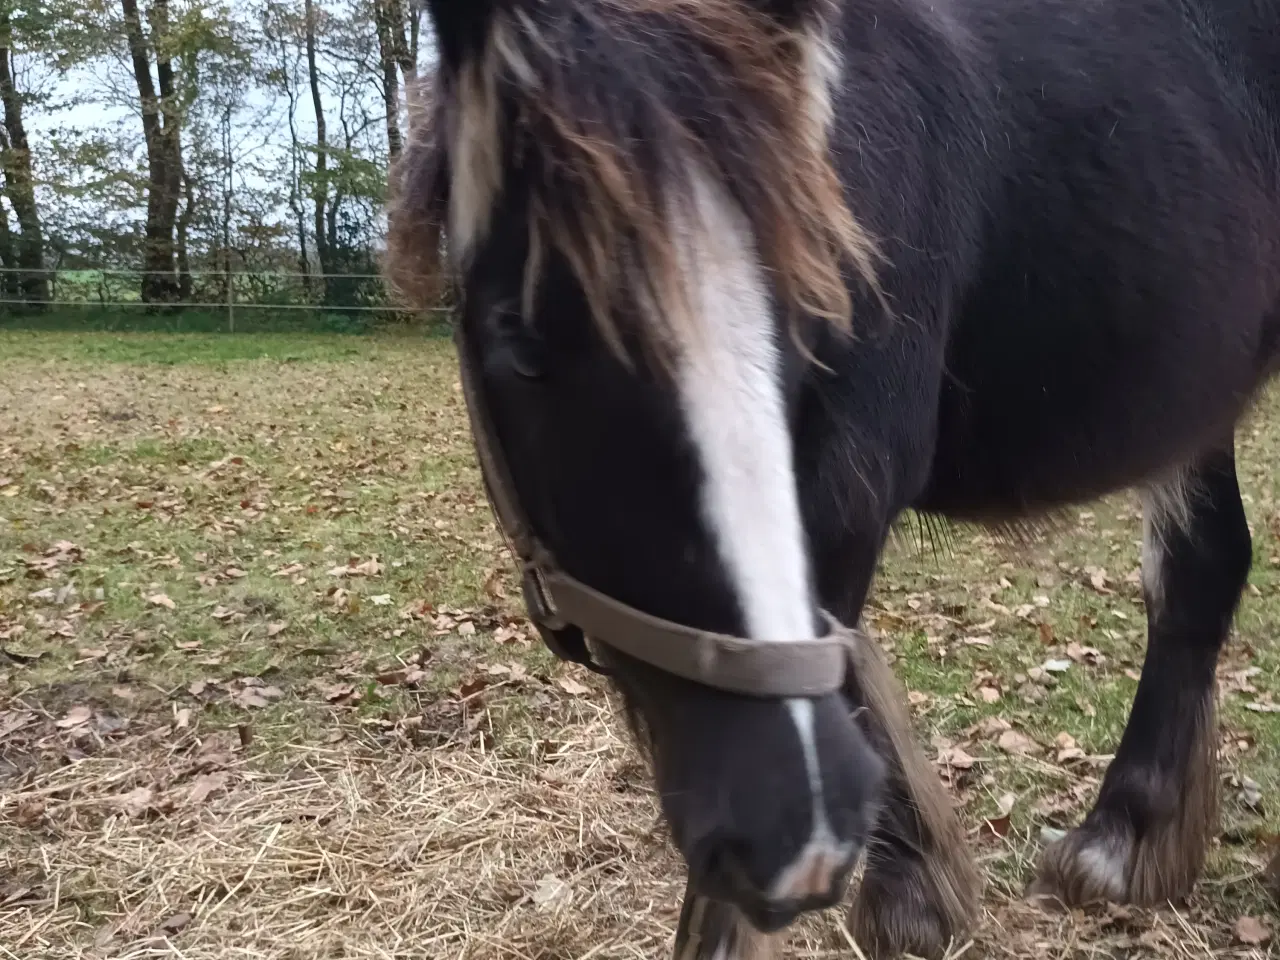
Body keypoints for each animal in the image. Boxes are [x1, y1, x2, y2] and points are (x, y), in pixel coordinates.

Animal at [384, 0, 1280, 957]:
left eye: (807, 327)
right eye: (520, 347)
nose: (793, 828)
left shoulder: (852, 479)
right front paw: (917, 884)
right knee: (1199, 568)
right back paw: (1129, 838)